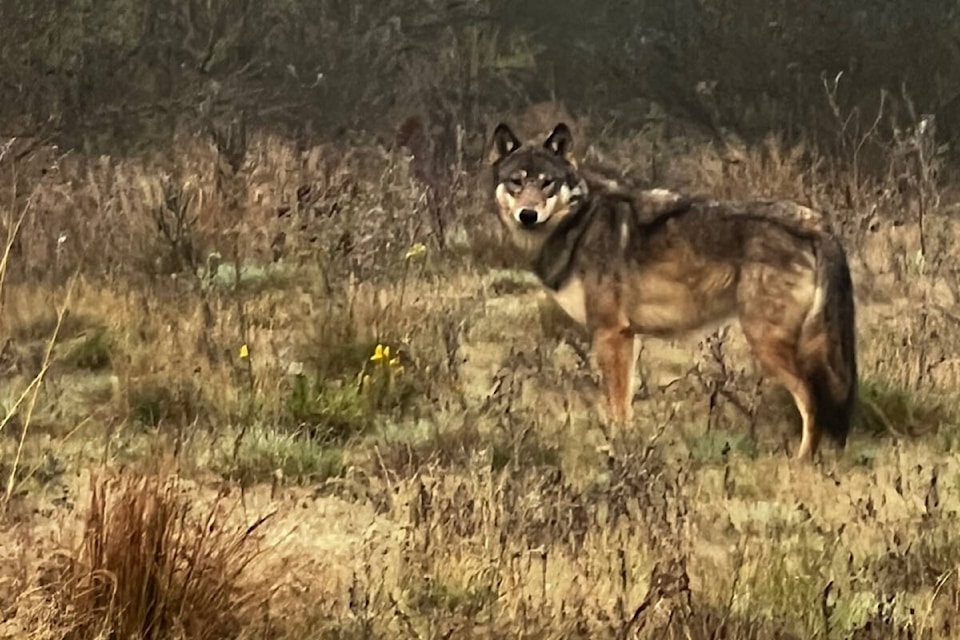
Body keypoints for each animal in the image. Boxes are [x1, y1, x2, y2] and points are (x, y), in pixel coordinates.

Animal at [487, 121, 858, 460]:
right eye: (517, 181)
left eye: (546, 183)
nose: (528, 215)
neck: (579, 224)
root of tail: (816, 224)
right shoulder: (628, 337)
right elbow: (625, 404)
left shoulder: (609, 333)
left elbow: (615, 405)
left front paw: (618, 452)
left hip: (769, 343)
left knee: (813, 401)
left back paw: (802, 462)